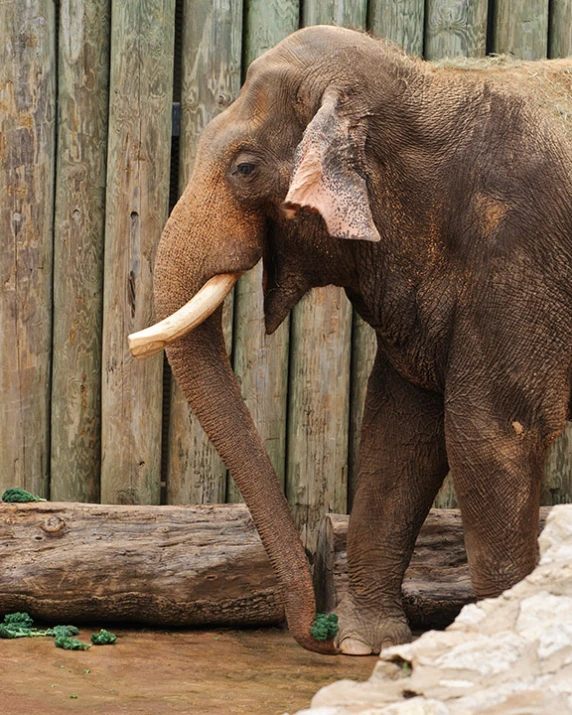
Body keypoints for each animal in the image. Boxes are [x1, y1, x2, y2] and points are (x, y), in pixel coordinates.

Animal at [132, 26, 572, 656]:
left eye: (244, 168)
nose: (314, 636)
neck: (424, 82)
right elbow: (397, 427)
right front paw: (364, 645)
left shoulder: (519, 252)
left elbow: (490, 434)